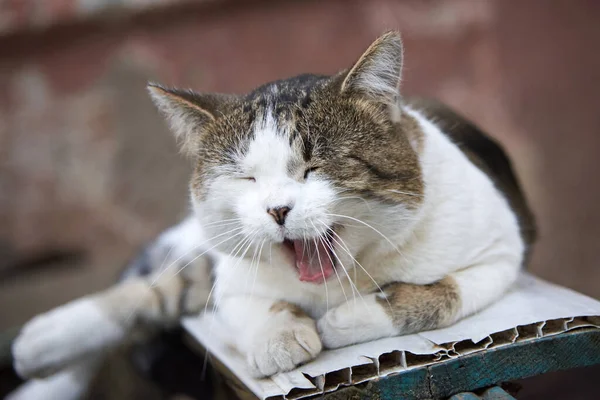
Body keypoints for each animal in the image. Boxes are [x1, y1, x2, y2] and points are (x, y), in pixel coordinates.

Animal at [9, 32, 536, 400]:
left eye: (314, 167)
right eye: (247, 179)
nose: (277, 208)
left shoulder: (502, 252)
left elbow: (443, 292)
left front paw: (350, 319)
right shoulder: (234, 279)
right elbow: (253, 306)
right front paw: (279, 337)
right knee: (165, 284)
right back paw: (43, 347)